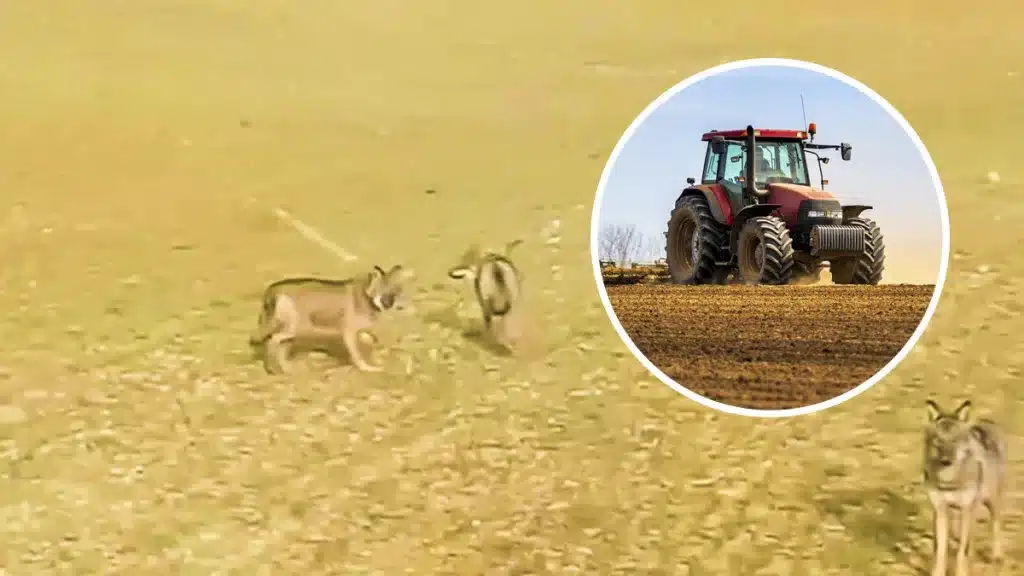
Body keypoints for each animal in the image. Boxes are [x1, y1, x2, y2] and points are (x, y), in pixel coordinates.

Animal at [247, 264, 411, 373]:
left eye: (395, 291)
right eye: (382, 291)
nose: (388, 304)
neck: (366, 295)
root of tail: (273, 288)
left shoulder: (360, 332)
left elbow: (370, 342)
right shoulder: (349, 333)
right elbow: (358, 354)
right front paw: (366, 367)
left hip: (292, 330)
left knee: (278, 346)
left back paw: (287, 368)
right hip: (296, 328)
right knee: (272, 341)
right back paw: (273, 369)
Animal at [921, 397, 1007, 573]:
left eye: (954, 441)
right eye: (938, 441)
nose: (946, 461)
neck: (948, 480)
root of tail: (986, 421)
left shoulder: (967, 509)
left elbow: (962, 550)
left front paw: (962, 572)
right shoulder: (940, 510)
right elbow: (941, 550)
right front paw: (938, 572)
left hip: (990, 502)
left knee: (995, 525)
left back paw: (997, 556)